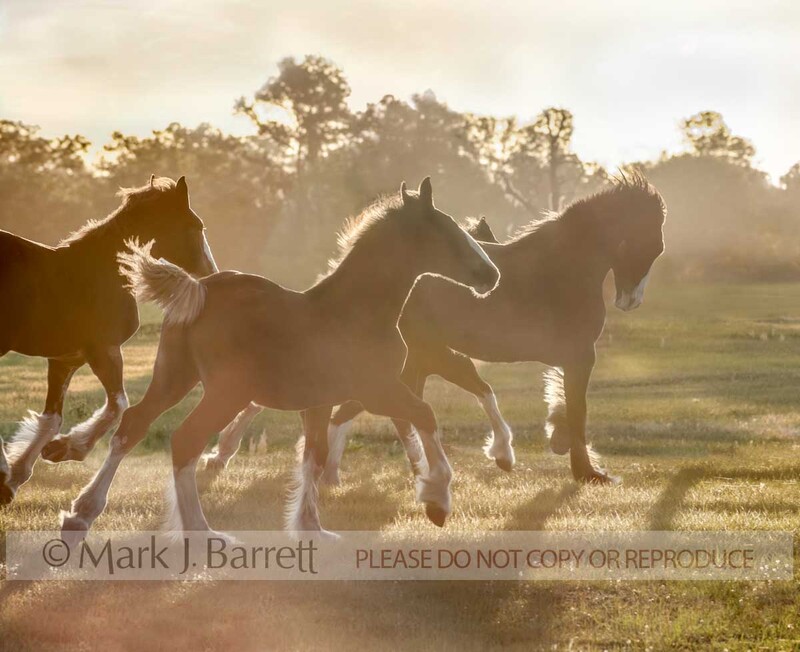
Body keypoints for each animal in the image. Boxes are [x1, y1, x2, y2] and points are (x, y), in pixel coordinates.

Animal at [0, 176, 217, 505]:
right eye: (197, 226)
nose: (211, 274)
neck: (103, 272)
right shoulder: (104, 351)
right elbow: (118, 406)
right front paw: (67, 449)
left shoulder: (65, 360)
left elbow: (52, 419)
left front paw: (21, 472)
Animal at [324, 172, 666, 485]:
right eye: (655, 243)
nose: (630, 300)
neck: (560, 268)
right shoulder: (579, 356)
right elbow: (577, 410)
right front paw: (587, 472)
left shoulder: (570, 357)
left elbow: (565, 403)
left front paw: (560, 441)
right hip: (423, 356)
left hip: (416, 360)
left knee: (373, 408)